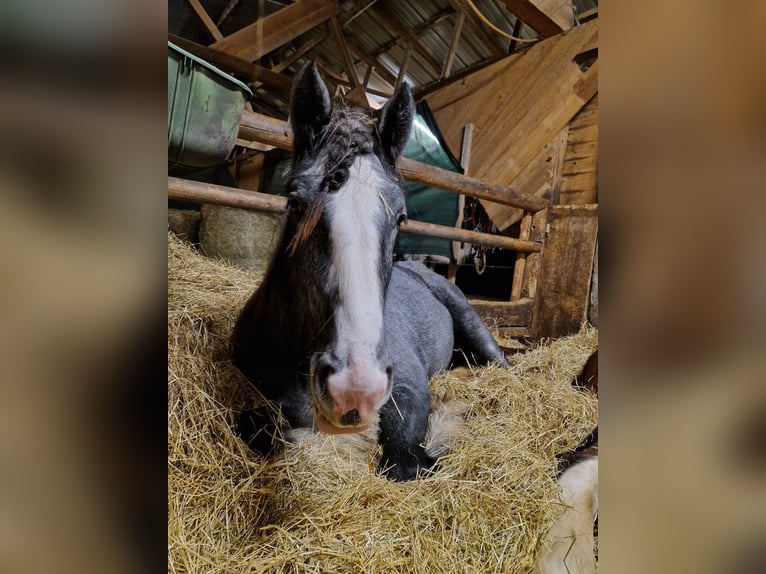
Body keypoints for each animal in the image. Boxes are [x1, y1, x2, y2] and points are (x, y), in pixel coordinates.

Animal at [234, 62, 510, 482]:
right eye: (296, 204)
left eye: (401, 217)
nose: (355, 386)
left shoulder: (408, 390)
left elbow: (406, 461)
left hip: (474, 326)